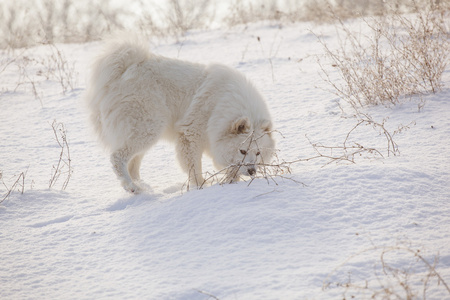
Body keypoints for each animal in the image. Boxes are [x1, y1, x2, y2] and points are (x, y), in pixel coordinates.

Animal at [84, 37, 274, 192]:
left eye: (258, 153)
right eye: (242, 150)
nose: (252, 171)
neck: (219, 105)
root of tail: (123, 70)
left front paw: (230, 180)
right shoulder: (191, 135)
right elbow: (194, 166)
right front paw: (201, 185)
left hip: (144, 133)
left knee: (132, 164)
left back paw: (142, 186)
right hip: (147, 128)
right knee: (118, 158)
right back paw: (131, 187)